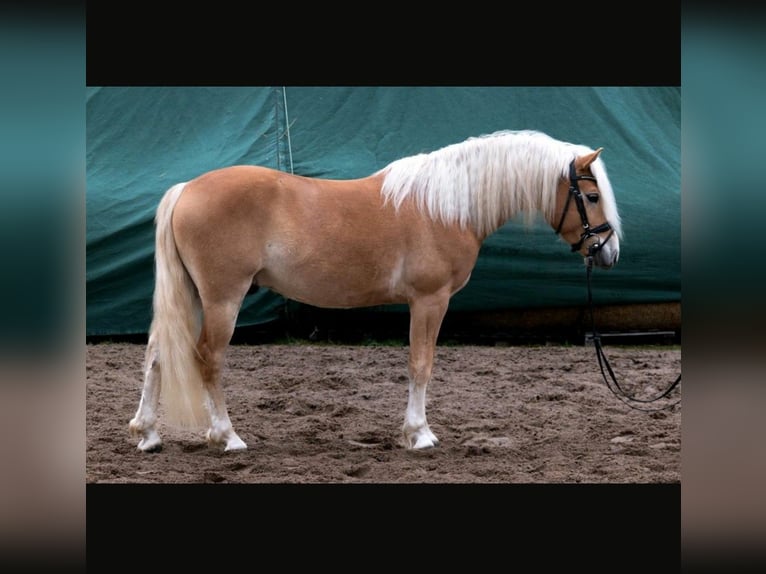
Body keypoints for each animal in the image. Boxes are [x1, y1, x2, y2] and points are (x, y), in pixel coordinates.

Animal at [129, 129, 622, 452]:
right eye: (592, 197)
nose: (609, 253)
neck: (446, 205)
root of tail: (186, 189)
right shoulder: (430, 301)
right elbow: (421, 364)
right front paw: (419, 434)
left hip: (194, 297)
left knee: (157, 352)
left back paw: (148, 434)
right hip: (222, 300)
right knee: (207, 358)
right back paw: (227, 436)